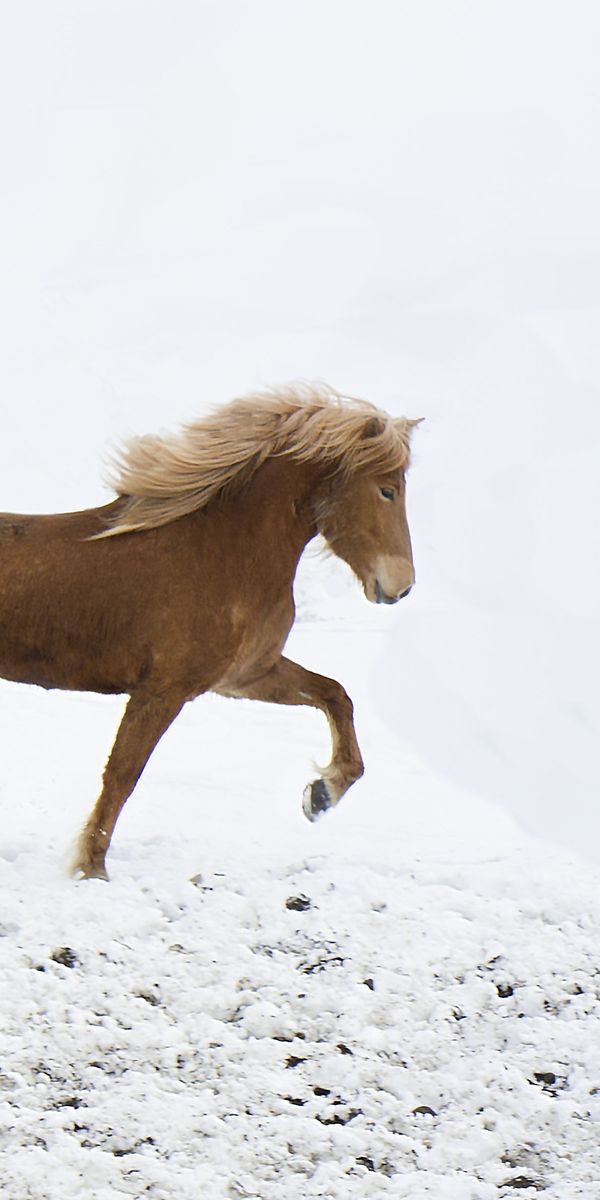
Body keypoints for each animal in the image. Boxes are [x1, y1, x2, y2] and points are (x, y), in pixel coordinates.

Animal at [0, 386, 422, 883]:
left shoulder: (245, 677)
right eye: (387, 490)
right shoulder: (163, 690)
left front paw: (321, 794)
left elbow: (335, 695)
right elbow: (122, 774)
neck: (223, 551)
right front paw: (91, 868)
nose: (400, 586)